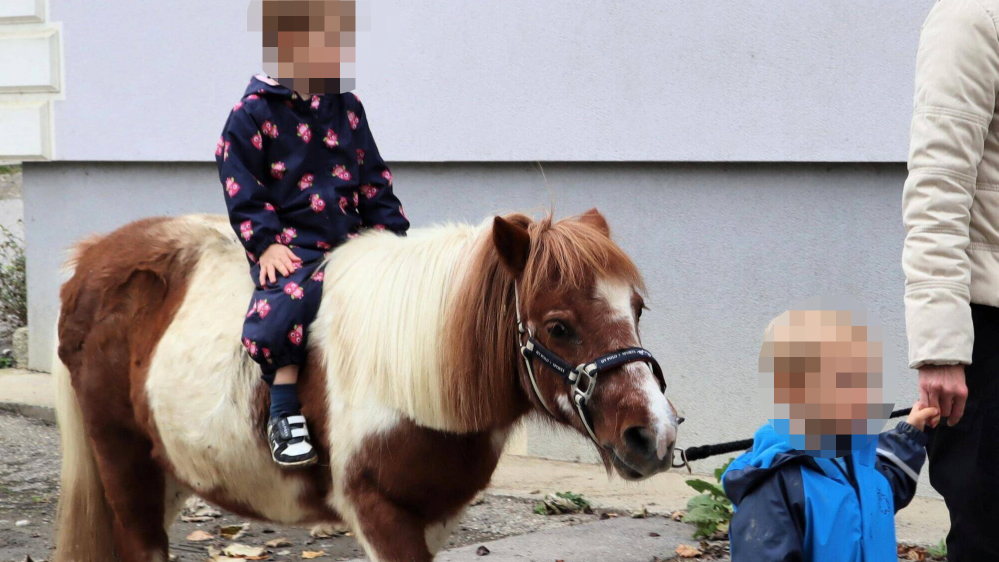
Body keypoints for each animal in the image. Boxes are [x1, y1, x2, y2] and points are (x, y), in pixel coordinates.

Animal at [52, 208, 679, 562]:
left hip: (167, 472)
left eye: (637, 308)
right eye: (558, 326)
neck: (409, 375)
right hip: (122, 458)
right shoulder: (377, 511)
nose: (654, 436)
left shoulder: (433, 518)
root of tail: (89, 261)